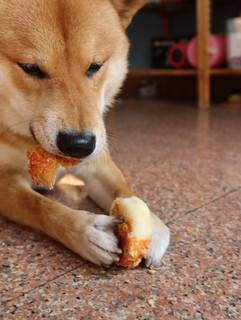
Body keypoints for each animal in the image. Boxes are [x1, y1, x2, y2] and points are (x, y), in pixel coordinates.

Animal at [0, 0, 169, 268]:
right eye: (30, 69)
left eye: (95, 66)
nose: (79, 145)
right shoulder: (5, 182)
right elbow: (40, 207)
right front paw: (85, 229)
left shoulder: (97, 163)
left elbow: (122, 187)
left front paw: (150, 220)